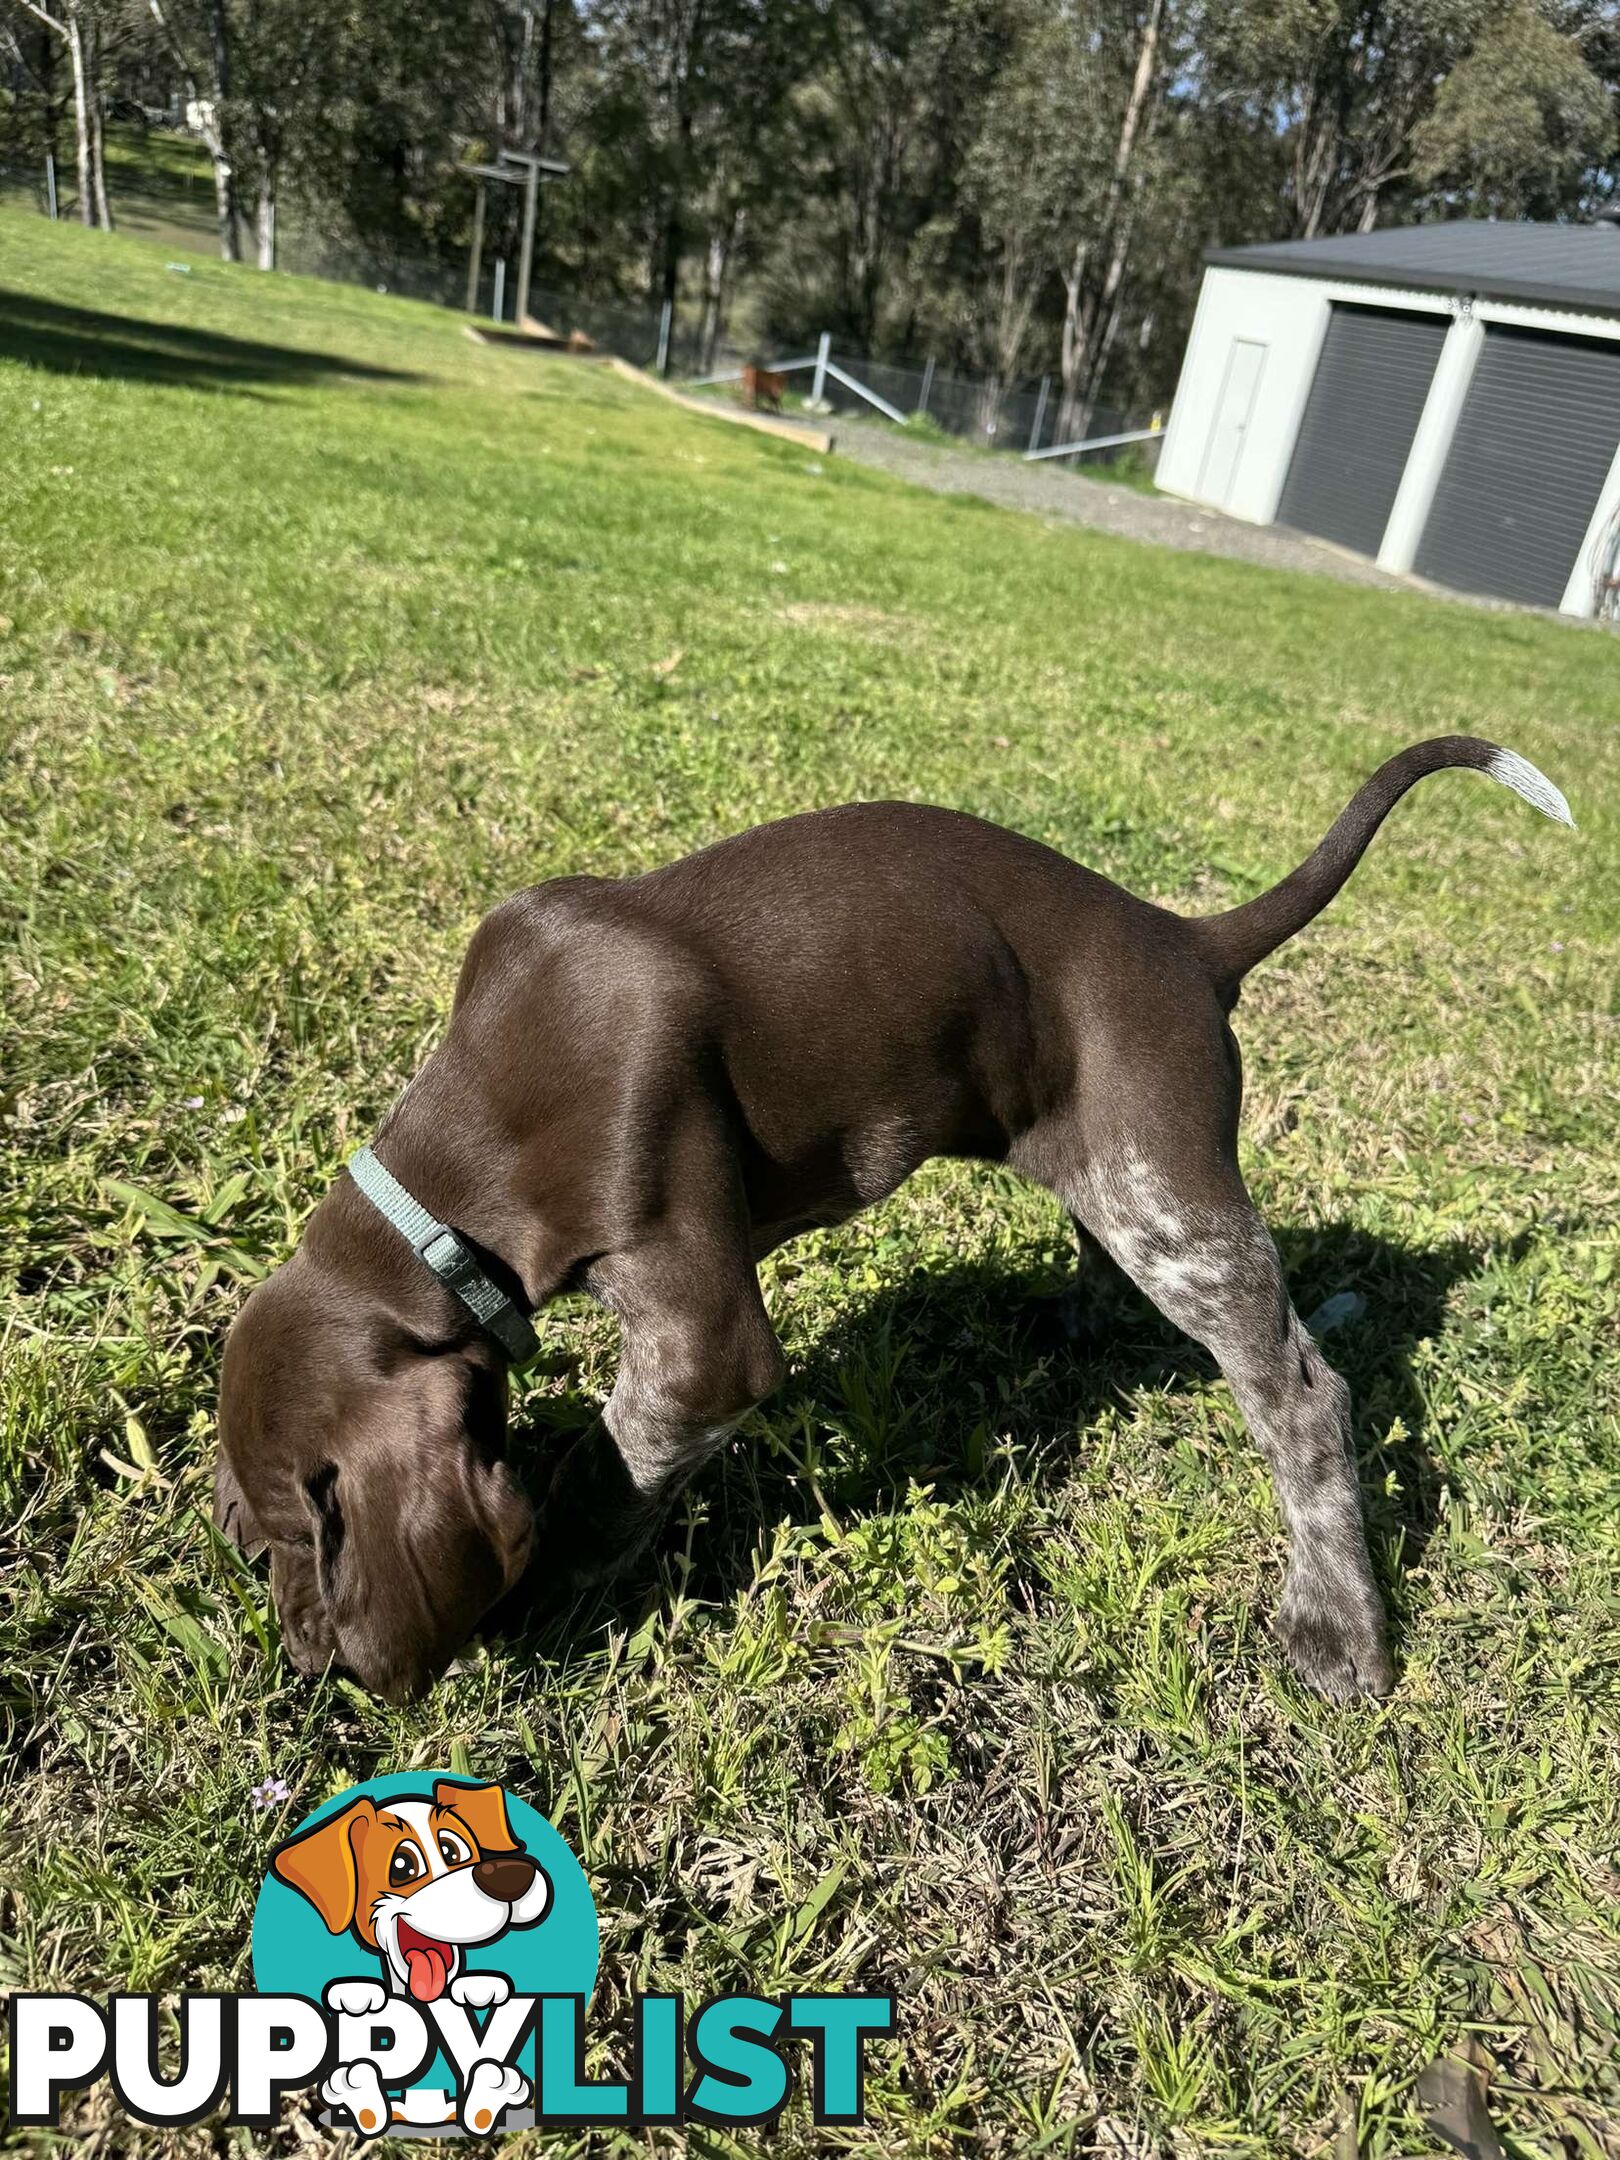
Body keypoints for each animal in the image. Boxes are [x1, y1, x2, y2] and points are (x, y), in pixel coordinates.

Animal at [216, 743, 1572, 1702]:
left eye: (305, 1537)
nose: (308, 1669)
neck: (466, 1162)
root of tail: (1180, 940)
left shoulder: (703, 1338)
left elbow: (608, 1470)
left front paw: (552, 1596)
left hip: (1170, 1198)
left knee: (1301, 1395)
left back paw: (1339, 1620)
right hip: (1112, 1172)